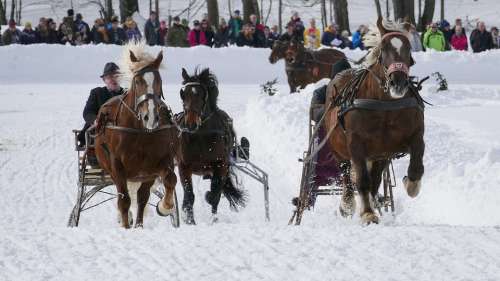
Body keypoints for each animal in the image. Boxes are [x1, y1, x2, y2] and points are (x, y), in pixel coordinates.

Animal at [94, 43, 180, 228]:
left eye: (159, 80)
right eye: (138, 81)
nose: (151, 117)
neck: (141, 132)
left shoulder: (160, 162)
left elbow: (171, 179)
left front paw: (165, 207)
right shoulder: (117, 166)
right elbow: (124, 200)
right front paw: (125, 226)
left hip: (145, 175)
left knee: (142, 197)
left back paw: (139, 224)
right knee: (126, 197)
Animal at [176, 67, 246, 223]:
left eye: (202, 94)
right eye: (183, 94)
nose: (190, 124)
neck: (201, 135)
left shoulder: (221, 165)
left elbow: (215, 195)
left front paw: (212, 215)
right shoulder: (184, 166)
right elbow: (189, 195)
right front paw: (190, 220)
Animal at [322, 17, 424, 223]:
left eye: (409, 48)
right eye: (383, 49)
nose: (398, 83)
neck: (384, 106)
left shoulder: (408, 139)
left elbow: (416, 166)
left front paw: (410, 184)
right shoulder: (356, 144)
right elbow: (361, 179)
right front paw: (367, 213)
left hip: (379, 155)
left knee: (375, 180)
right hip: (338, 150)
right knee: (347, 174)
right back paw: (348, 204)